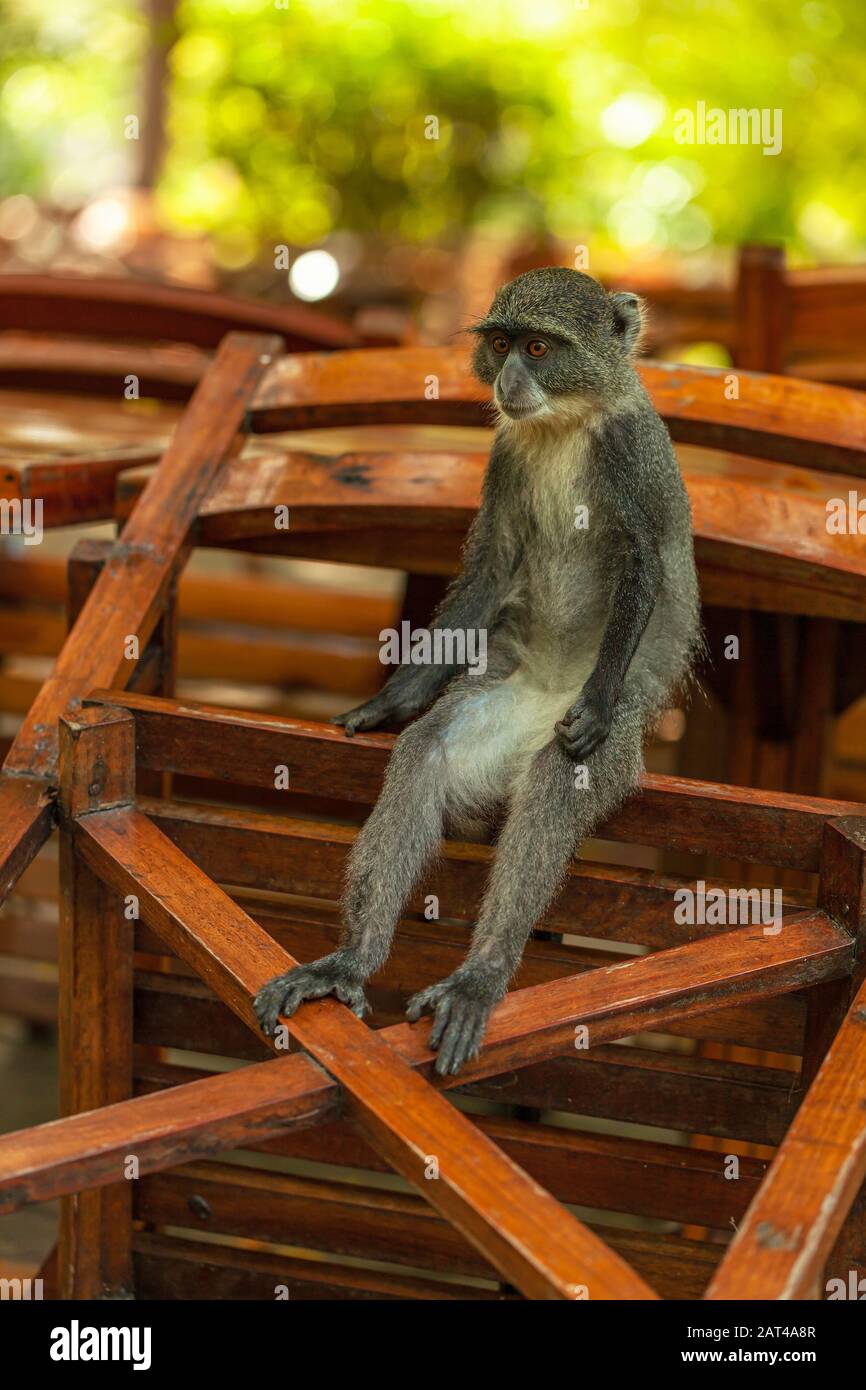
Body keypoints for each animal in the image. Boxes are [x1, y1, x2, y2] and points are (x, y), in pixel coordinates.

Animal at [254, 267, 701, 1075]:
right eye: (500, 345)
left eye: (538, 347)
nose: (510, 379)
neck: (562, 423)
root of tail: (544, 698)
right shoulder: (505, 459)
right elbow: (490, 565)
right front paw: (389, 699)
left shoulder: (628, 457)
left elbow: (642, 566)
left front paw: (595, 703)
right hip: (502, 697)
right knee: (427, 752)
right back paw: (350, 962)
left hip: (606, 734)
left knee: (560, 772)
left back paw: (482, 974)